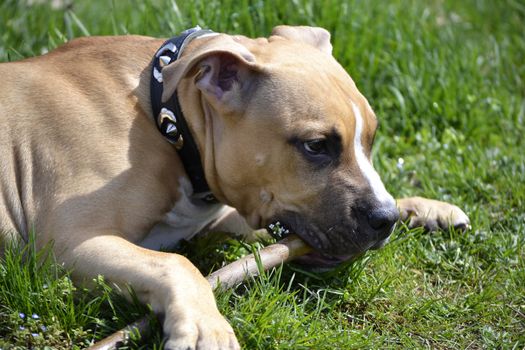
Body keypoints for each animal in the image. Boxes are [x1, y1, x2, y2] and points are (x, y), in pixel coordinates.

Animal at [0, 27, 466, 350]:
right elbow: (177, 265)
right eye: (316, 146)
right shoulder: (68, 242)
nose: (385, 219)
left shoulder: (220, 215)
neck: (168, 122)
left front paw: (422, 208)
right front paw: (207, 327)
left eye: (370, 139)